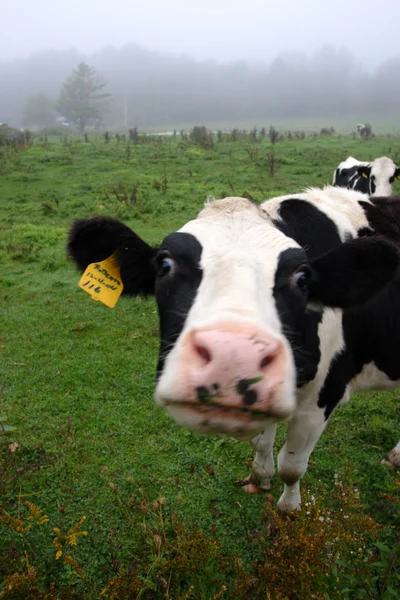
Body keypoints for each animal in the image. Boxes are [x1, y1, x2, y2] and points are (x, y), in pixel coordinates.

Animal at [69, 186, 400, 510]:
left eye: (302, 278)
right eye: (164, 264)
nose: (233, 357)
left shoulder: (324, 396)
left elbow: (292, 466)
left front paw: (289, 509)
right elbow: (262, 442)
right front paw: (260, 478)